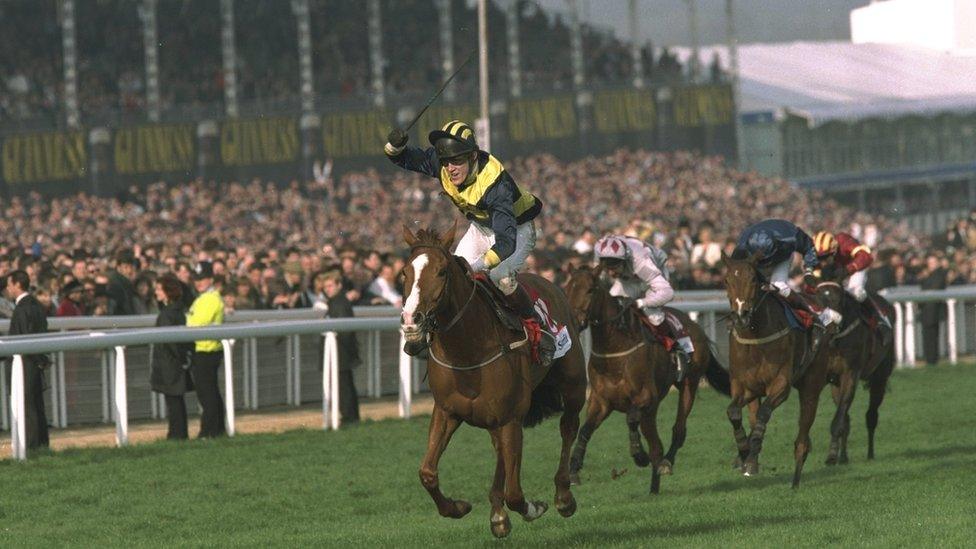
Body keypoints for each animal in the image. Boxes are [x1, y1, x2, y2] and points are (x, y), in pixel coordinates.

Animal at [398, 220, 588, 536]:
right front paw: (458, 507)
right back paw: (497, 513)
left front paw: (534, 508)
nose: (412, 321)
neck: (468, 351)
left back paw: (563, 496)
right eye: (404, 272)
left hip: (573, 385)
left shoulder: (510, 417)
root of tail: (553, 283)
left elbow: (516, 494)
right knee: (501, 451)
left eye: (442, 271)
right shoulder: (448, 411)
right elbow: (427, 473)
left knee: (568, 428)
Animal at [560, 264, 728, 492]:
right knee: (656, 444)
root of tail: (694, 326)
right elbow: (585, 430)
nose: (574, 322)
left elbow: (631, 418)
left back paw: (665, 464)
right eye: (567, 289)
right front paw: (574, 469)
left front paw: (639, 455)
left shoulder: (646, 397)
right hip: (652, 412)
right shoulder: (600, 401)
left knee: (678, 430)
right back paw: (654, 488)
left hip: (688, 384)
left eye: (590, 290)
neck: (615, 352)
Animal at [720, 253, 828, 488]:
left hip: (811, 386)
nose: (741, 315)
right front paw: (744, 453)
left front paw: (750, 453)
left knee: (802, 438)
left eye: (753, 279)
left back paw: (795, 481)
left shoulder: (781, 384)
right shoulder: (744, 386)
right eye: (726, 281)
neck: (755, 336)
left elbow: (764, 413)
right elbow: (734, 412)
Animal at [812, 268, 896, 464]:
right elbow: (843, 418)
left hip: (880, 376)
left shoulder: (851, 374)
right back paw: (844, 456)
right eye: (819, 300)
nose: (830, 327)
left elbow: (839, 419)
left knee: (871, 415)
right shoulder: (830, 377)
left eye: (839, 299)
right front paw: (836, 455)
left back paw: (870, 454)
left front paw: (831, 457)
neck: (835, 341)